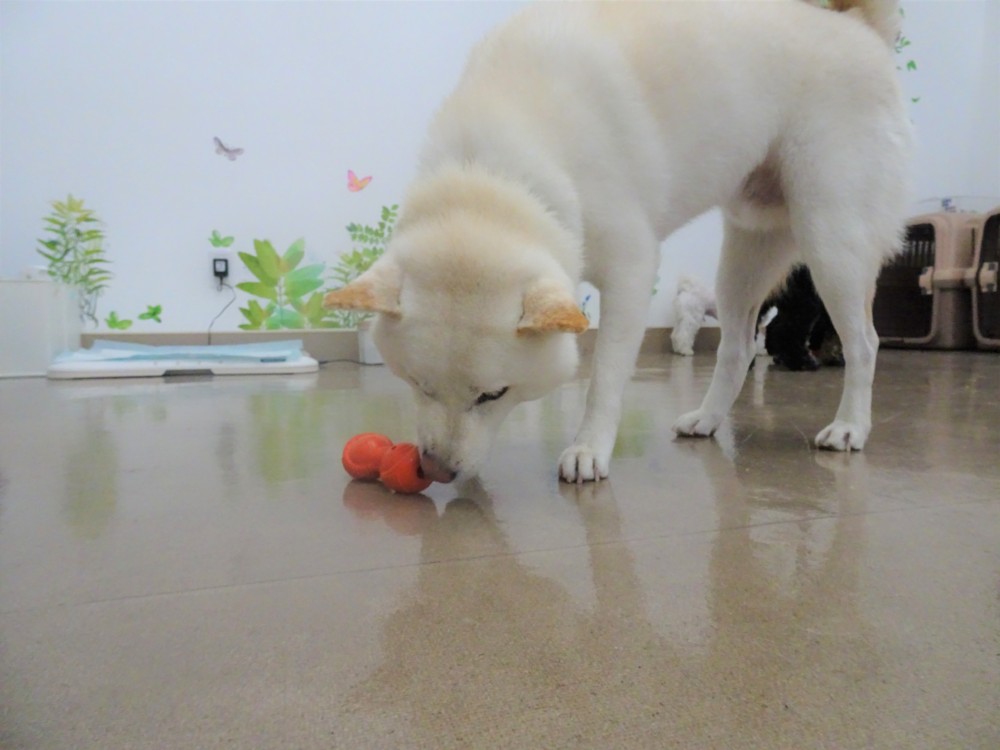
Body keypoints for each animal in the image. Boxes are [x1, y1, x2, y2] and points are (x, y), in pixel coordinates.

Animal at [324, 0, 912, 483]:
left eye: (493, 395)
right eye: (419, 384)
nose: (437, 471)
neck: (495, 173)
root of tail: (858, 28)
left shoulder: (633, 269)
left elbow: (604, 378)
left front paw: (589, 450)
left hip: (831, 245)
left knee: (865, 343)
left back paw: (850, 427)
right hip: (742, 262)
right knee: (739, 347)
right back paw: (708, 418)